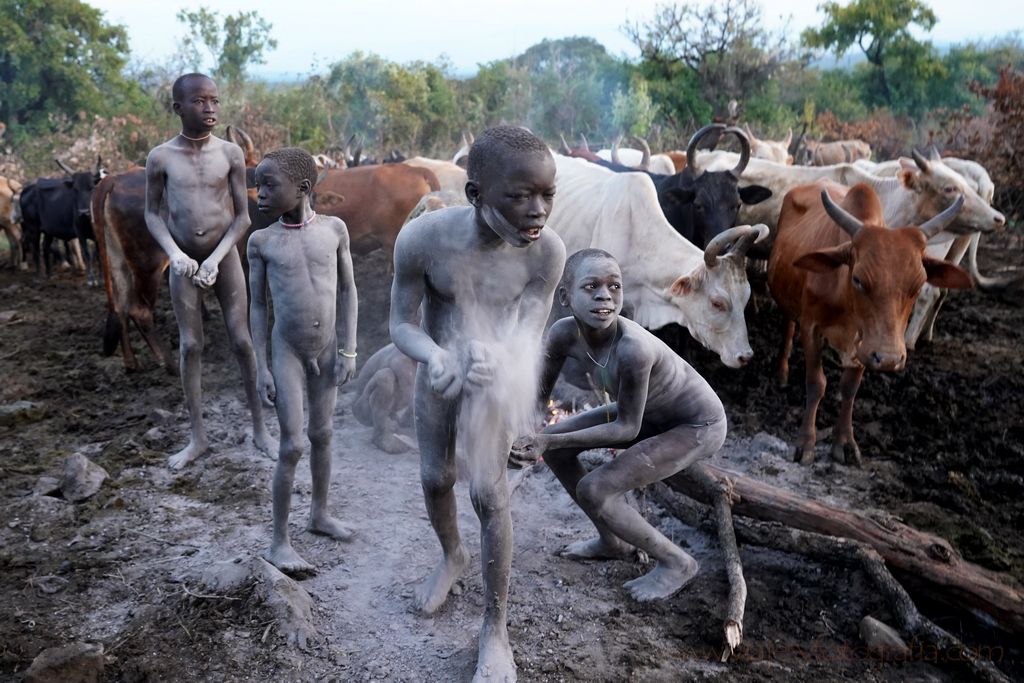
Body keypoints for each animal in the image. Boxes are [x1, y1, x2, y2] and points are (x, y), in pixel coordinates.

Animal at [770, 181, 974, 466]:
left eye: (917, 285)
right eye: (858, 279)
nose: (890, 359)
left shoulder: (866, 343)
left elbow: (849, 388)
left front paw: (844, 443)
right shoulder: (811, 327)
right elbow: (816, 383)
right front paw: (806, 443)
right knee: (788, 326)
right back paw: (782, 372)